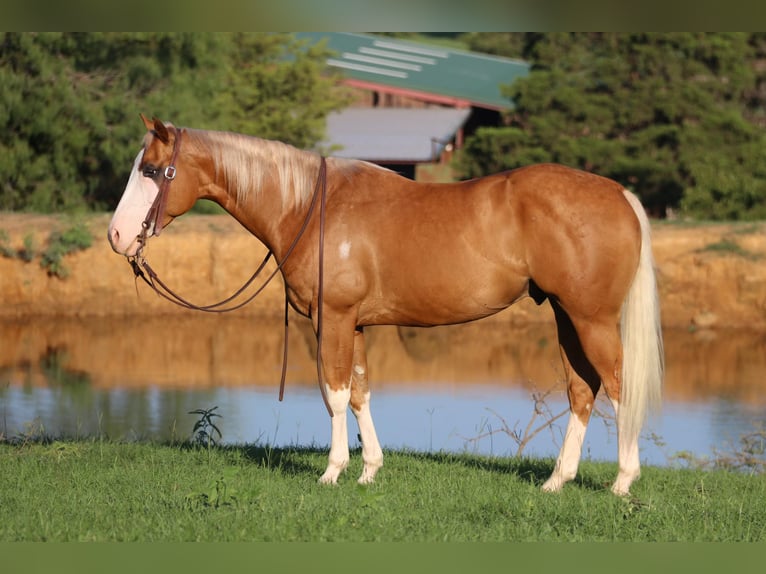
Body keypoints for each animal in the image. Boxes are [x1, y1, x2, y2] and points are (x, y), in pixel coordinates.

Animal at [108, 116, 664, 496]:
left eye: (153, 170)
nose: (116, 236)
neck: (311, 207)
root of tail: (619, 193)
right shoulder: (353, 324)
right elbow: (359, 392)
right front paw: (369, 470)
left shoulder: (332, 319)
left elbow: (333, 394)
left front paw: (332, 471)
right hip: (567, 316)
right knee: (583, 391)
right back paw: (556, 481)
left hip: (591, 320)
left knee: (619, 388)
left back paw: (622, 482)